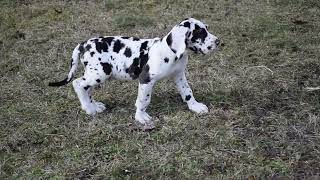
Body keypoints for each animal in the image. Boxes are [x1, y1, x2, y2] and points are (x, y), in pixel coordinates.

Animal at [49, 17, 220, 129]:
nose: (218, 41)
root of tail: (82, 44)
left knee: (86, 88)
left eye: (206, 29)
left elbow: (187, 92)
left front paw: (195, 106)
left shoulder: (179, 76)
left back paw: (94, 106)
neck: (170, 51)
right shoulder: (146, 80)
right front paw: (141, 117)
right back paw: (89, 109)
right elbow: (143, 100)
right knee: (78, 84)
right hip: (100, 73)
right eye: (201, 33)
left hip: (95, 74)